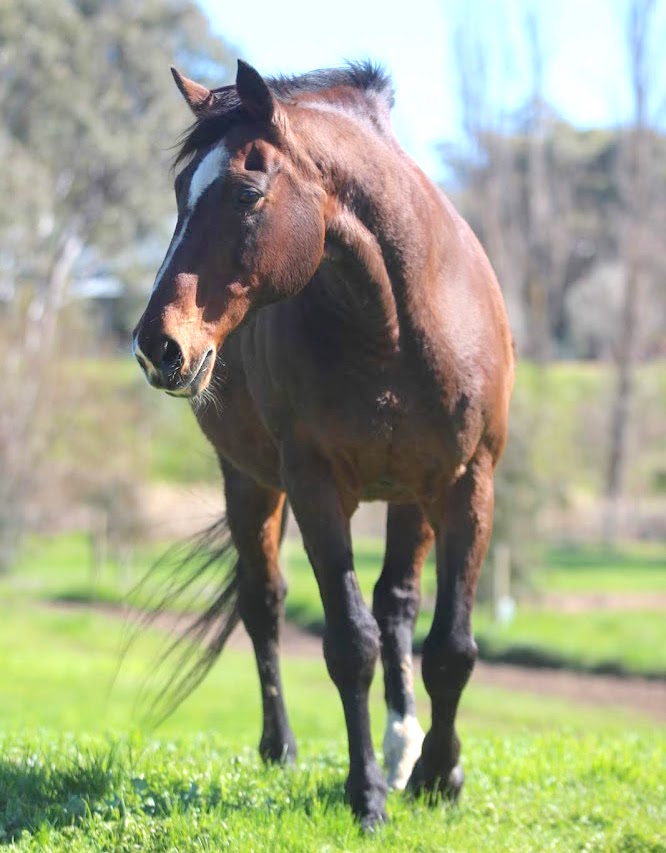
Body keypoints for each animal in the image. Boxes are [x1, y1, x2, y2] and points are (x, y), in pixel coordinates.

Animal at [131, 58, 512, 824]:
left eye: (246, 192)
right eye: (181, 193)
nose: (158, 345)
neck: (396, 327)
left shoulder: (468, 481)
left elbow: (450, 646)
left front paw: (439, 775)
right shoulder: (313, 486)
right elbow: (348, 642)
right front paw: (366, 795)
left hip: (411, 493)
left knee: (398, 602)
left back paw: (403, 747)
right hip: (249, 482)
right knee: (265, 603)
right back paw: (281, 747)